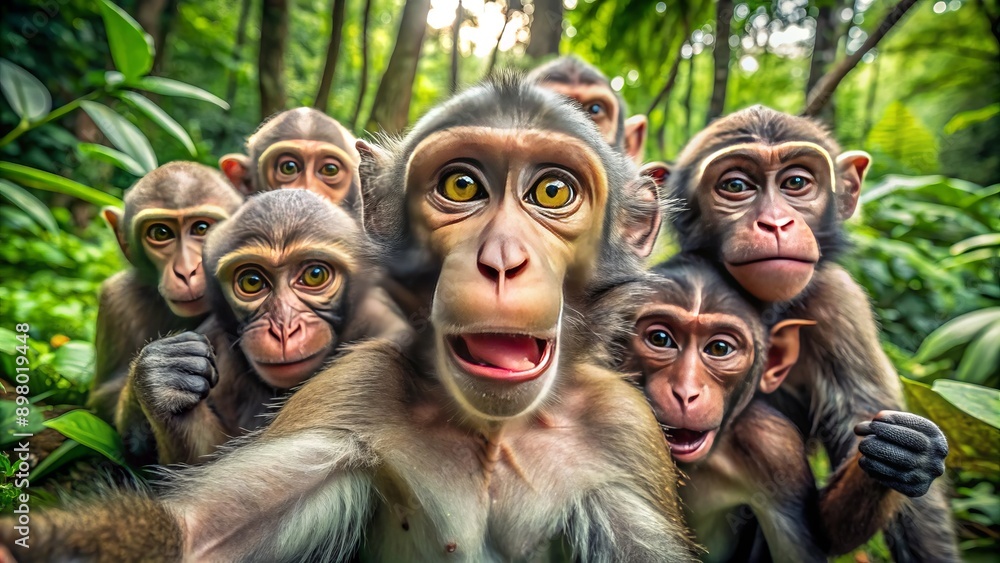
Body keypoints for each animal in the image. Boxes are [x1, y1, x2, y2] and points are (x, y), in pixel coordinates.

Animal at [86, 162, 244, 424]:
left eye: (202, 228)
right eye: (160, 233)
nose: (186, 271)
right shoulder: (115, 301)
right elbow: (103, 398)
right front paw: (162, 371)